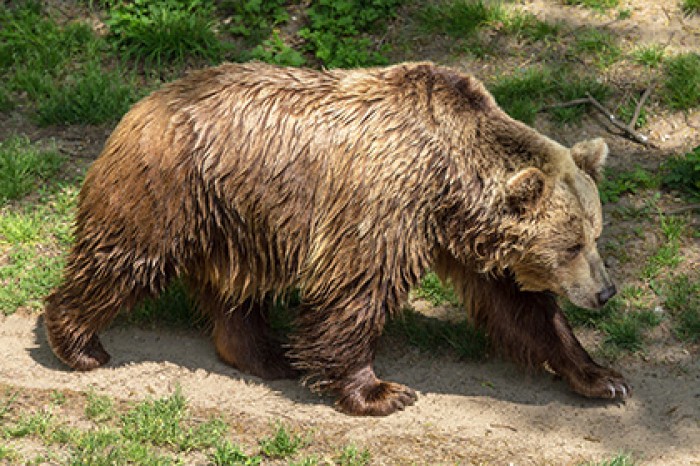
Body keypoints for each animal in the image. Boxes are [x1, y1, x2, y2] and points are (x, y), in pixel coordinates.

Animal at [43, 61, 628, 416]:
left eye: (595, 235)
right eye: (571, 244)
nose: (604, 293)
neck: (449, 182)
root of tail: (141, 103)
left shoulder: (459, 235)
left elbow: (521, 308)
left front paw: (602, 377)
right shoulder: (386, 205)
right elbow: (356, 291)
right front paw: (380, 391)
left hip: (239, 214)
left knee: (236, 287)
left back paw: (263, 354)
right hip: (169, 188)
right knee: (126, 258)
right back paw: (80, 343)